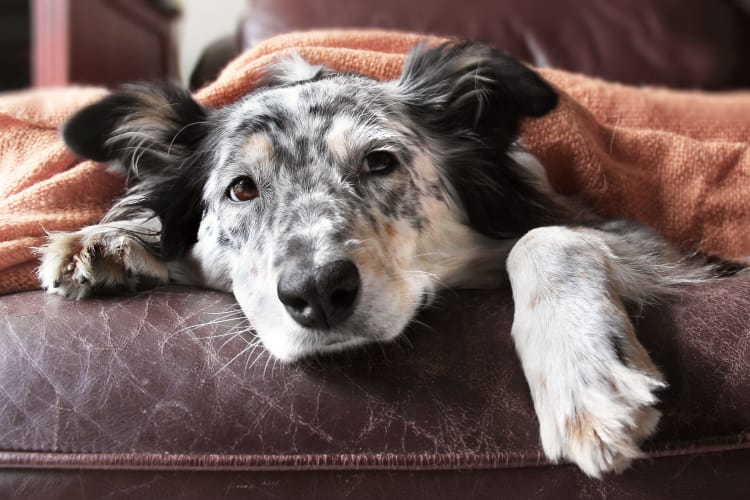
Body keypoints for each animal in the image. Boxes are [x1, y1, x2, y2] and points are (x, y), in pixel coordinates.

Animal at [38, 43, 724, 476]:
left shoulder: (634, 237)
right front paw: (111, 239)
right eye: (242, 190)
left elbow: (547, 237)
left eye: (379, 162)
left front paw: (584, 376)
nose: (318, 292)